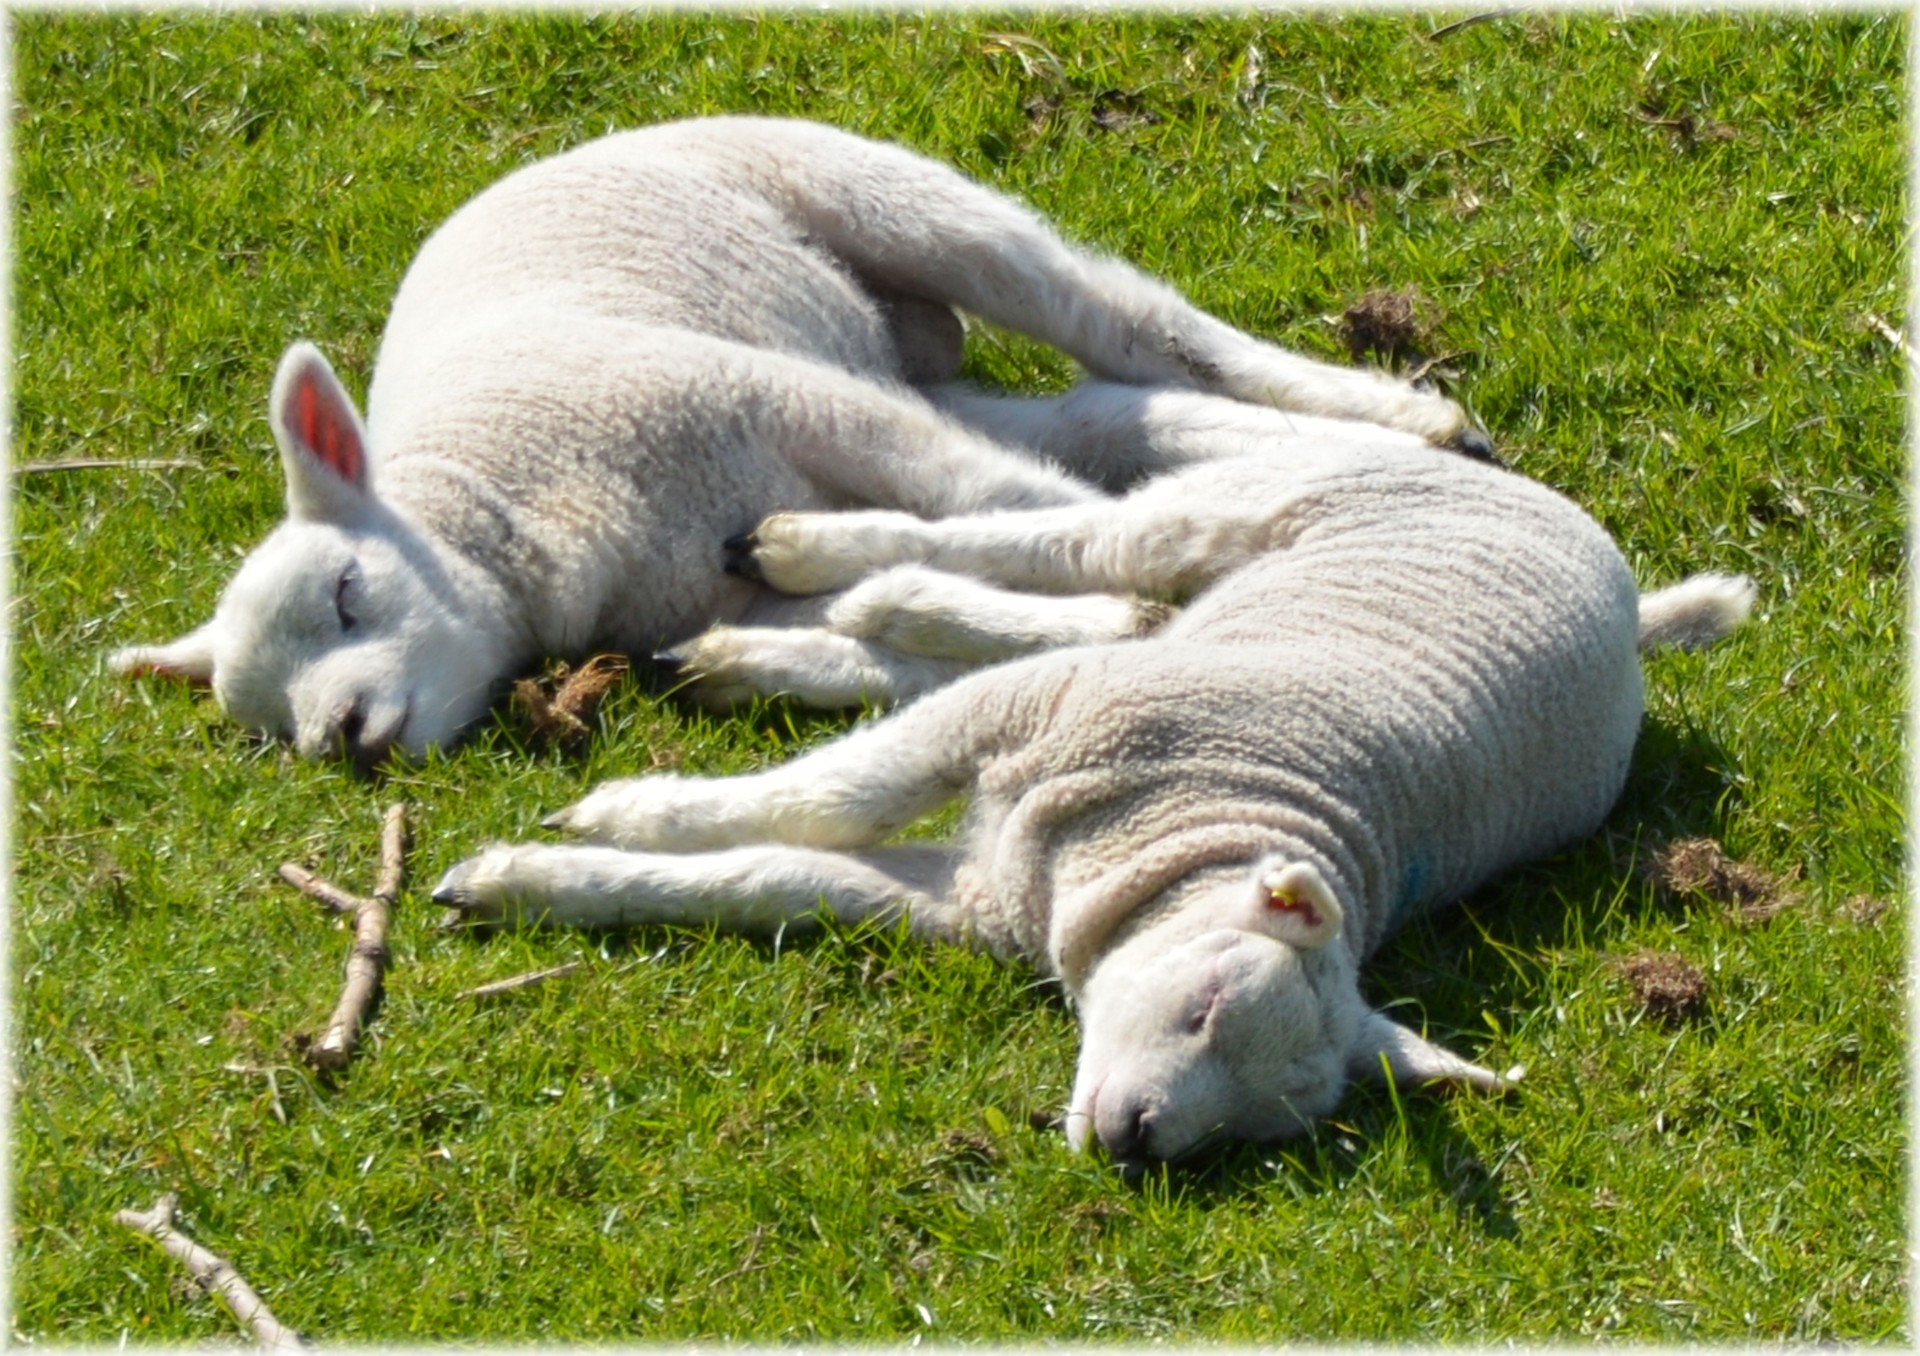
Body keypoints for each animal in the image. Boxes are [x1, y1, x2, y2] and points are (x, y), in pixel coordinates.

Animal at [108, 113, 1482, 760]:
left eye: (347, 590)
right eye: (266, 728)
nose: (341, 740)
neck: (531, 515)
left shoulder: (770, 402)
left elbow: (1012, 514)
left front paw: (1149, 594)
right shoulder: (734, 550)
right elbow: (888, 629)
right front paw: (1096, 628)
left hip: (883, 205)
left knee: (1122, 323)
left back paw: (1405, 417)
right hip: (881, 354)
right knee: (1098, 407)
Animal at [432, 437, 1758, 1160]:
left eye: (1262, 1128)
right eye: (1208, 1007)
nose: (1137, 1143)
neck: (1199, 824)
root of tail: (1627, 599)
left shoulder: (978, 899)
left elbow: (787, 874)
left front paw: (529, 880)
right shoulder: (1031, 726)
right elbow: (831, 797)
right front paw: (625, 814)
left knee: (1101, 610)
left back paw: (779, 646)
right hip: (1253, 508)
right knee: (1075, 548)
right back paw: (826, 559)